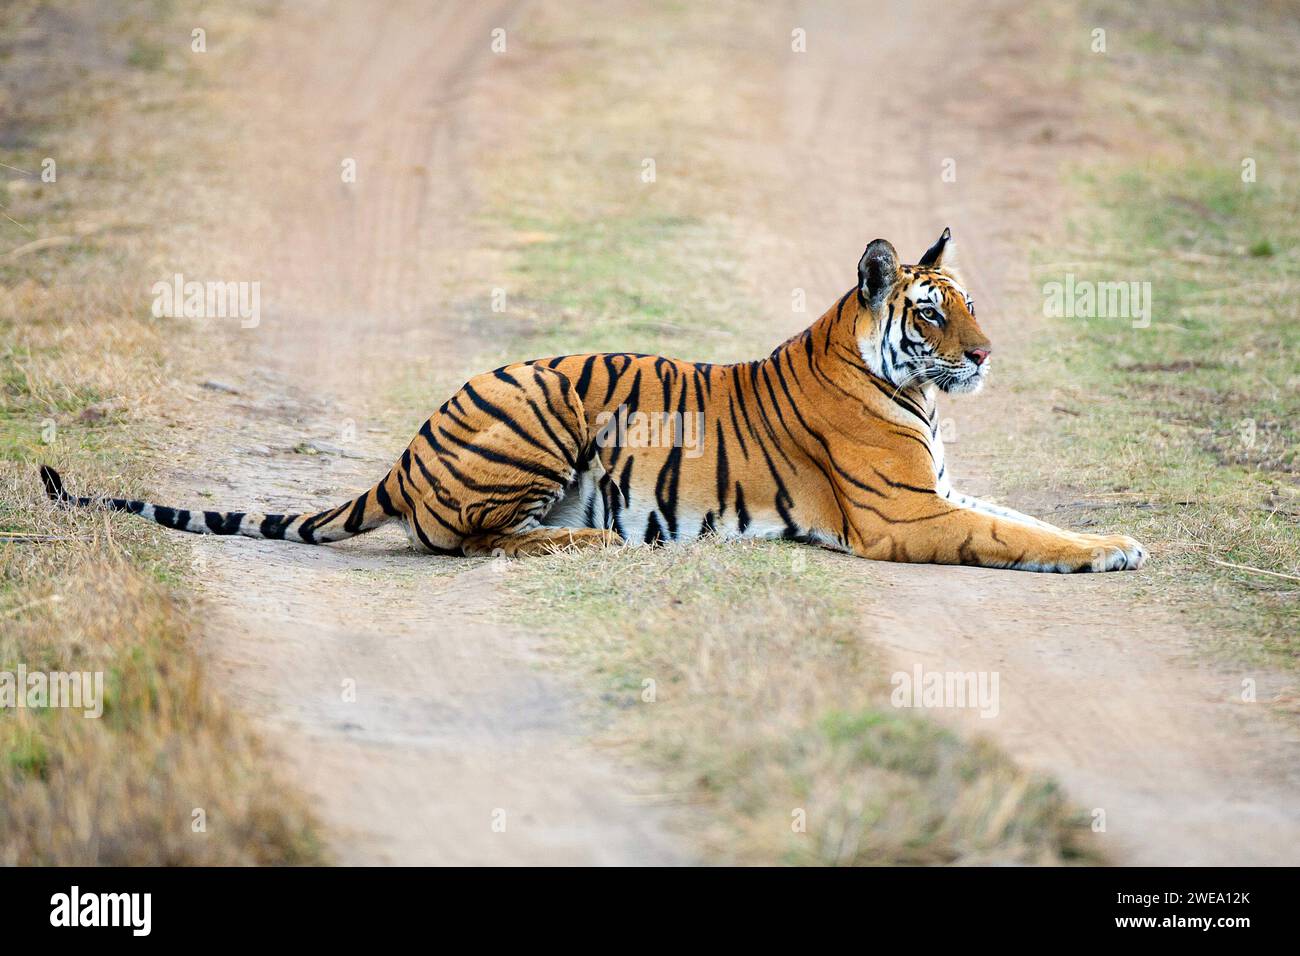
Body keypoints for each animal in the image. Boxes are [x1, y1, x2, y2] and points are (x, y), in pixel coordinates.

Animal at [38, 230, 1149, 574]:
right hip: (542, 414)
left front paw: (1118, 541)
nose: (987, 355)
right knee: (472, 541)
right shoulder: (906, 514)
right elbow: (1012, 534)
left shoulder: (940, 492)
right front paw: (1108, 554)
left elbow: (1020, 514)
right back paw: (589, 540)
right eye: (929, 313)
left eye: (972, 304)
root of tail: (405, 452)